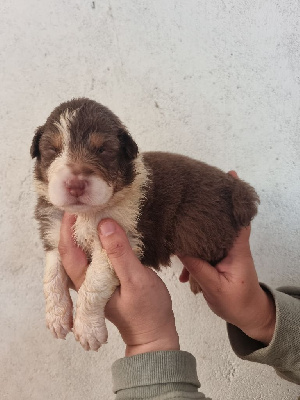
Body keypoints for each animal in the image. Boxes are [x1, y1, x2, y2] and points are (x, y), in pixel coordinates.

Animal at [31, 97, 260, 350]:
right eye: (53, 150)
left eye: (103, 150)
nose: (75, 185)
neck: (87, 214)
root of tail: (235, 187)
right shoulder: (54, 234)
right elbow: (51, 276)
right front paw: (57, 318)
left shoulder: (120, 241)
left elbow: (93, 284)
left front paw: (88, 330)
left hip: (199, 227)